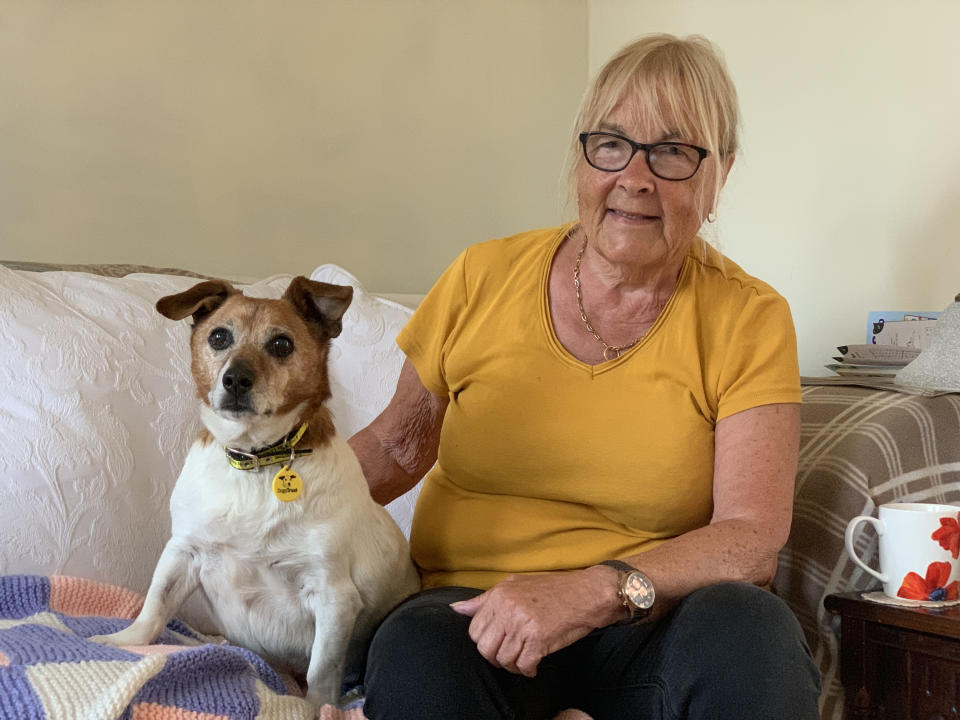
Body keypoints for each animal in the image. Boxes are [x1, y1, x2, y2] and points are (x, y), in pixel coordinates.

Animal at [94, 278, 420, 708]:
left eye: (281, 344)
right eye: (219, 337)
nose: (235, 379)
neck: (255, 462)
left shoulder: (333, 596)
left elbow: (321, 671)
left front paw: (317, 709)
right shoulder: (183, 552)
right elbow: (154, 605)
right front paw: (123, 641)